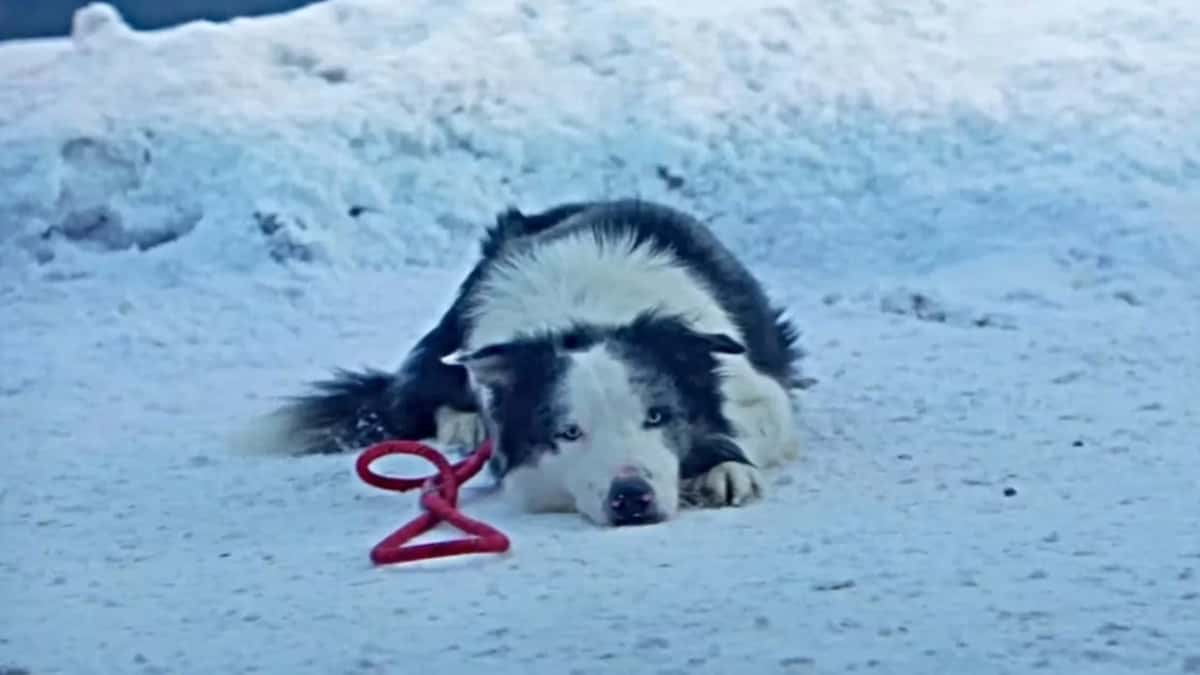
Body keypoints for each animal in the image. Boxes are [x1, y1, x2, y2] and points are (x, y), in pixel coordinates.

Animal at [241, 196, 806, 523]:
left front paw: (725, 468)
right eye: (568, 432)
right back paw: (465, 424)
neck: (584, 314)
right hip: (452, 336)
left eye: (657, 416)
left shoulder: (756, 386)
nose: (631, 498)